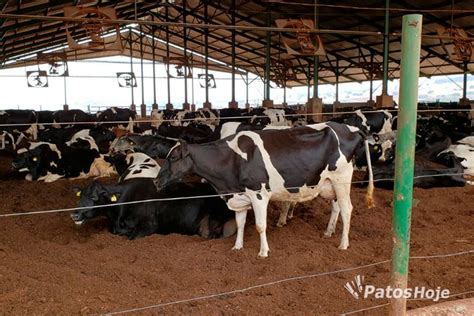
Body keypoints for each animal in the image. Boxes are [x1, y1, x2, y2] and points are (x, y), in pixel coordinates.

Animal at [157, 122, 376, 258]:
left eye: (173, 157)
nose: (157, 181)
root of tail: (351, 128)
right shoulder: (240, 196)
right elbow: (240, 223)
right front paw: (237, 246)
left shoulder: (259, 194)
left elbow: (260, 226)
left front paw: (263, 252)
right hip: (329, 183)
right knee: (336, 207)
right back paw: (329, 232)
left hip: (342, 179)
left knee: (347, 209)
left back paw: (343, 243)